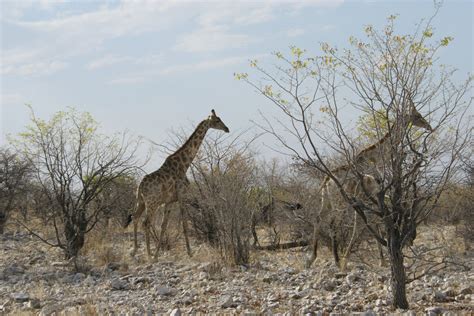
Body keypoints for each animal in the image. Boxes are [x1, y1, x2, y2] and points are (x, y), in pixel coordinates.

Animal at [126, 110, 230, 258]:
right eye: (217, 120)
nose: (227, 129)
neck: (184, 164)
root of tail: (140, 186)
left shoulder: (169, 201)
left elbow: (164, 226)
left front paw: (157, 254)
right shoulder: (182, 195)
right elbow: (185, 225)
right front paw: (190, 252)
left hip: (141, 202)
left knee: (135, 218)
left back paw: (136, 251)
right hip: (152, 203)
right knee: (145, 223)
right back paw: (148, 254)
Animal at [308, 105, 434, 270]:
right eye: (417, 115)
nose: (429, 126)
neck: (375, 157)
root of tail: (326, 181)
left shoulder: (372, 195)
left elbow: (375, 220)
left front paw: (383, 260)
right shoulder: (372, 192)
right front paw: (382, 260)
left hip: (327, 201)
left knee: (318, 219)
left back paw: (312, 259)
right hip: (339, 202)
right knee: (333, 224)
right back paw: (336, 261)